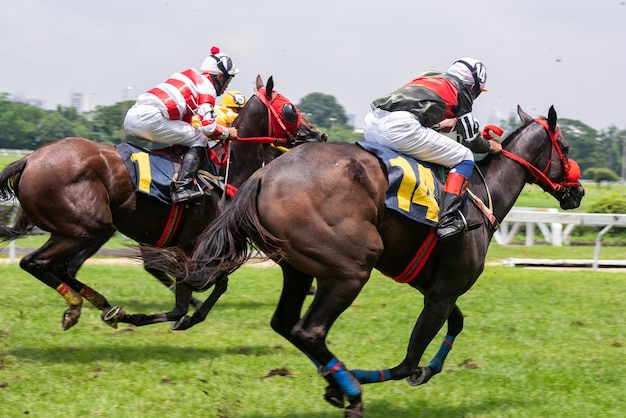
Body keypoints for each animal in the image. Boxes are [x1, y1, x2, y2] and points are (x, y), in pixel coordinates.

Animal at [1, 74, 326, 330]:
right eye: (290, 108)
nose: (319, 134)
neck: (223, 168)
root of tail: (29, 159)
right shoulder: (193, 246)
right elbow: (204, 286)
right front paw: (182, 316)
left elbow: (208, 287)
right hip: (88, 227)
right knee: (38, 262)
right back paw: (78, 307)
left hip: (81, 229)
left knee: (62, 266)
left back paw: (105, 307)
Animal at [152, 104, 584, 414]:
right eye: (565, 147)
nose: (578, 192)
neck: (482, 192)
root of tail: (262, 176)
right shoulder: (442, 292)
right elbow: (410, 360)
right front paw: (389, 375)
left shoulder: (432, 286)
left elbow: (456, 324)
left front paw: (424, 370)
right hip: (350, 268)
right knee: (309, 331)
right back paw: (350, 389)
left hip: (298, 268)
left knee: (286, 323)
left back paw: (336, 380)